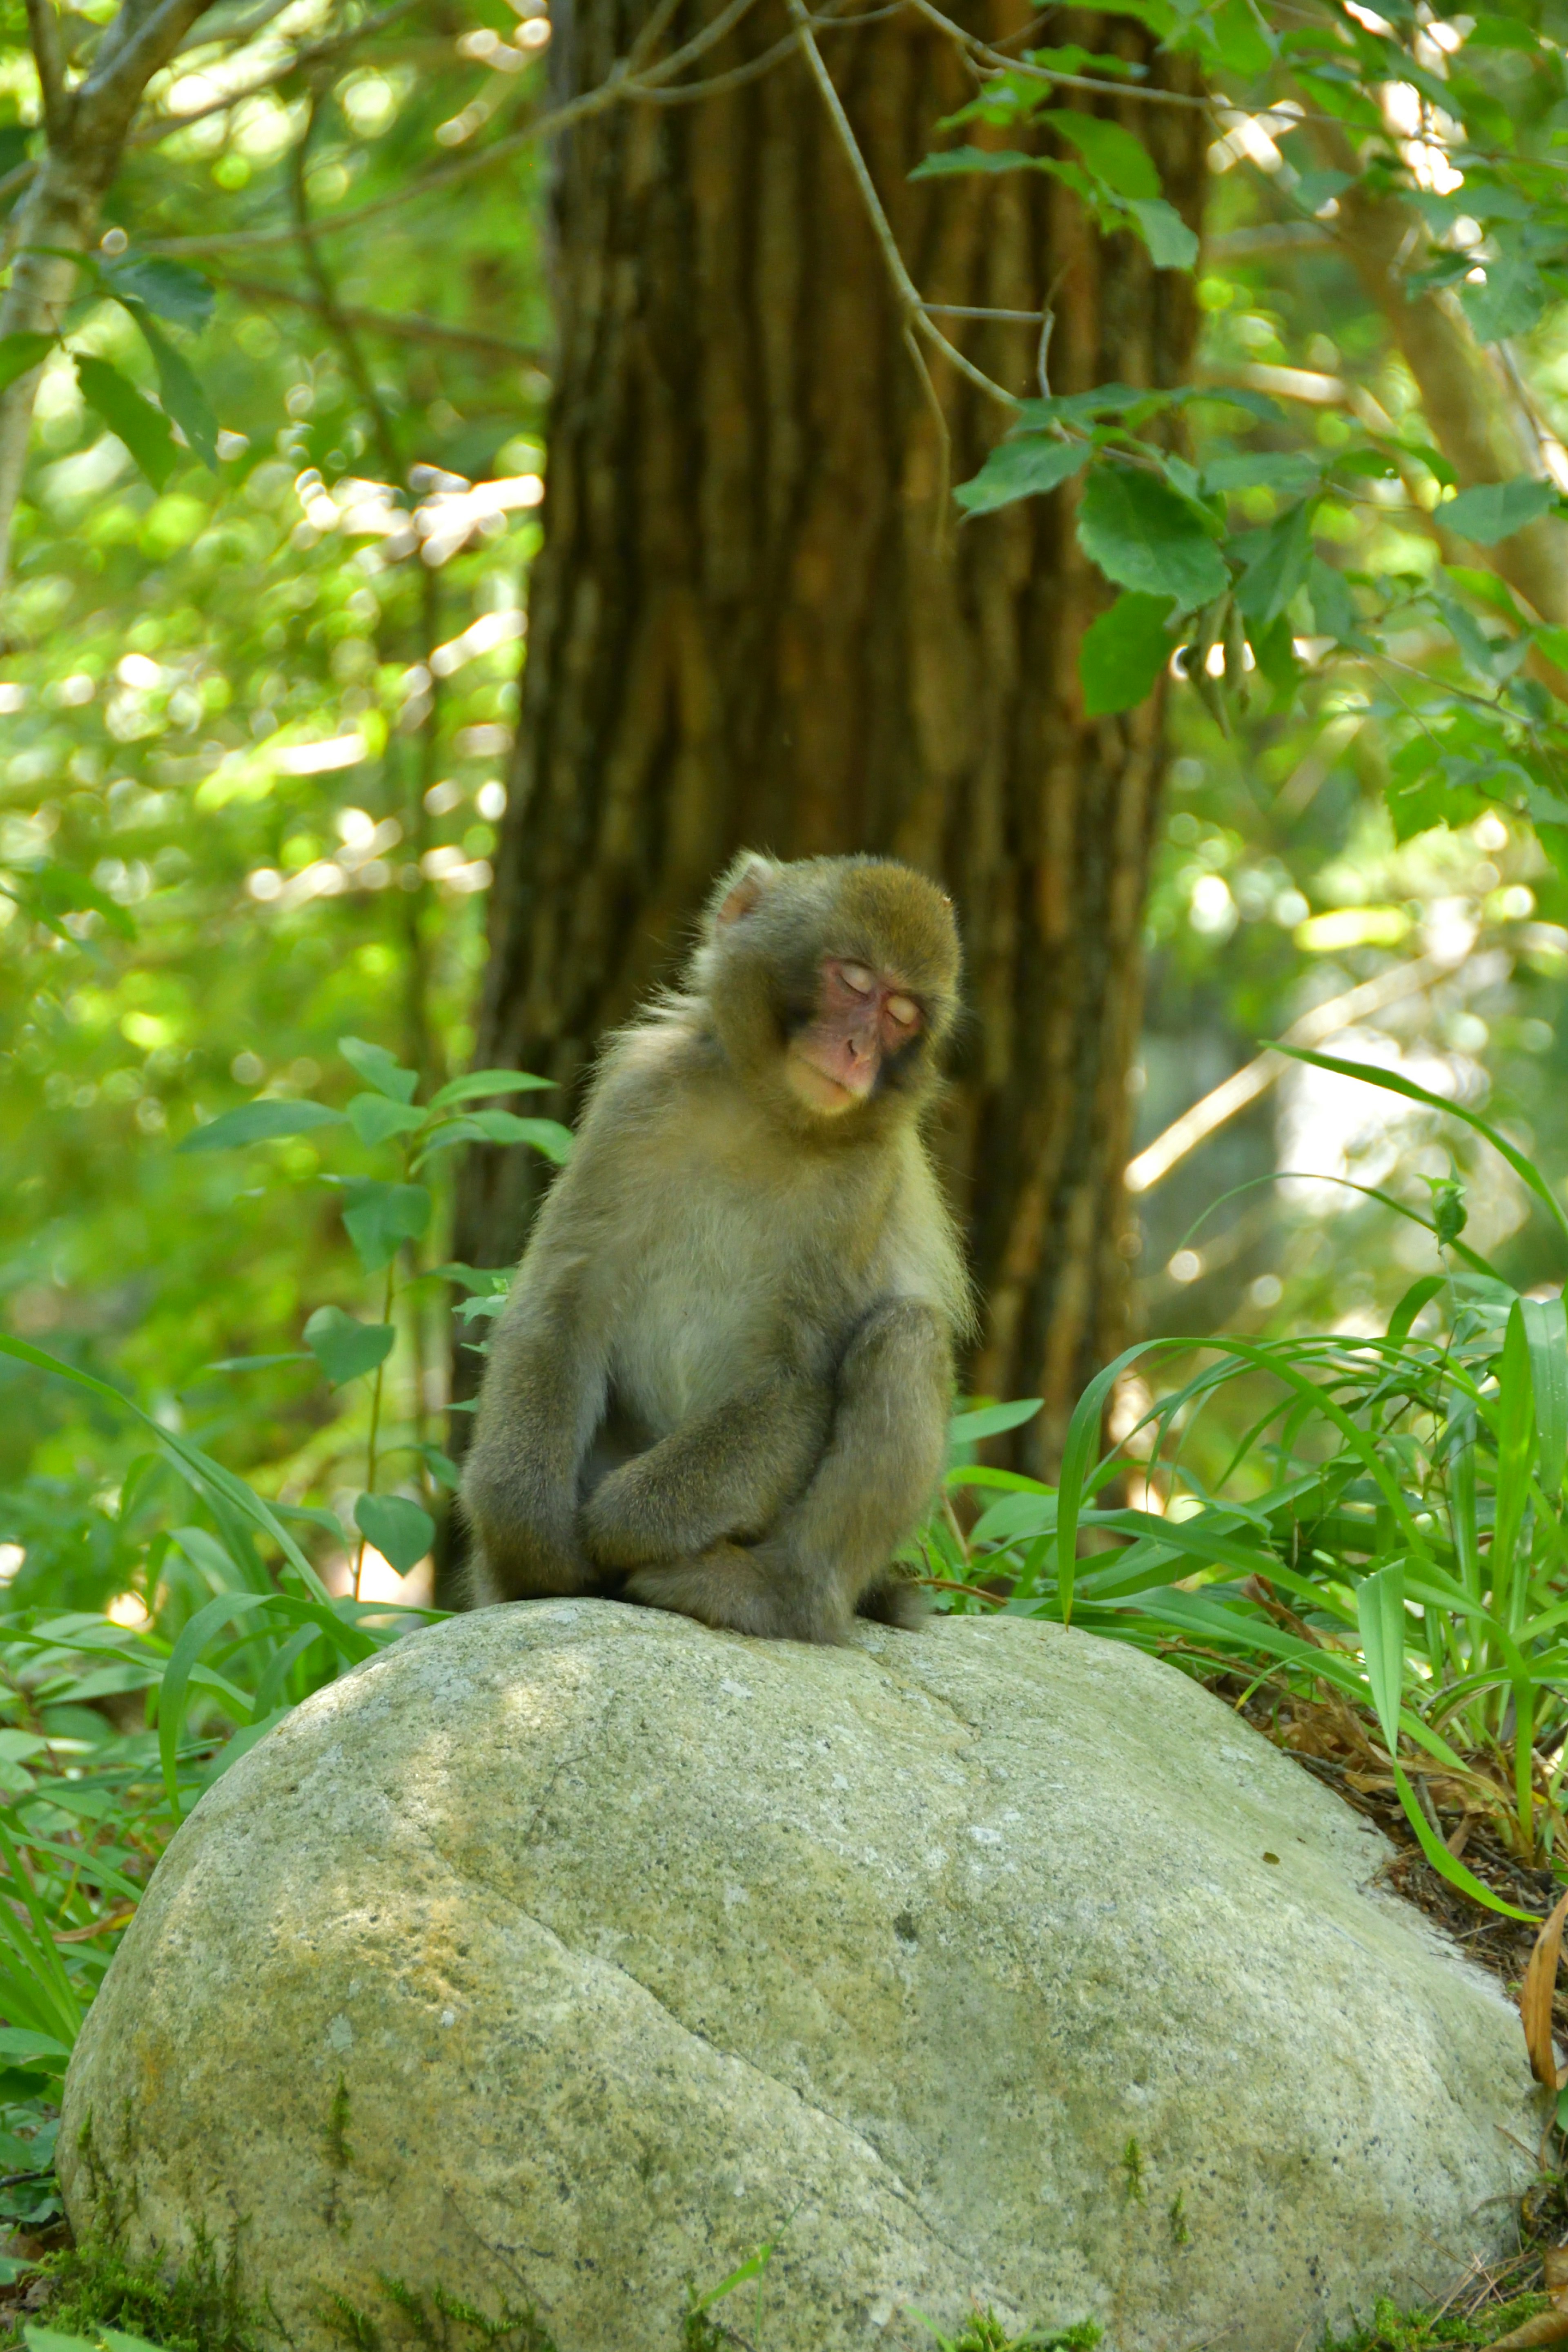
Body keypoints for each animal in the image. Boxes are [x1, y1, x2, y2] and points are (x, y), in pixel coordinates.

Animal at [461, 856, 968, 1646]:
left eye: (902, 1016)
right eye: (855, 982)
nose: (858, 1051)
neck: (764, 1114)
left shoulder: (867, 1184)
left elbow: (795, 1382)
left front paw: (623, 1525)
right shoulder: (634, 1100)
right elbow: (561, 1305)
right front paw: (526, 1531)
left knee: (905, 1337)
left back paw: (778, 1595)